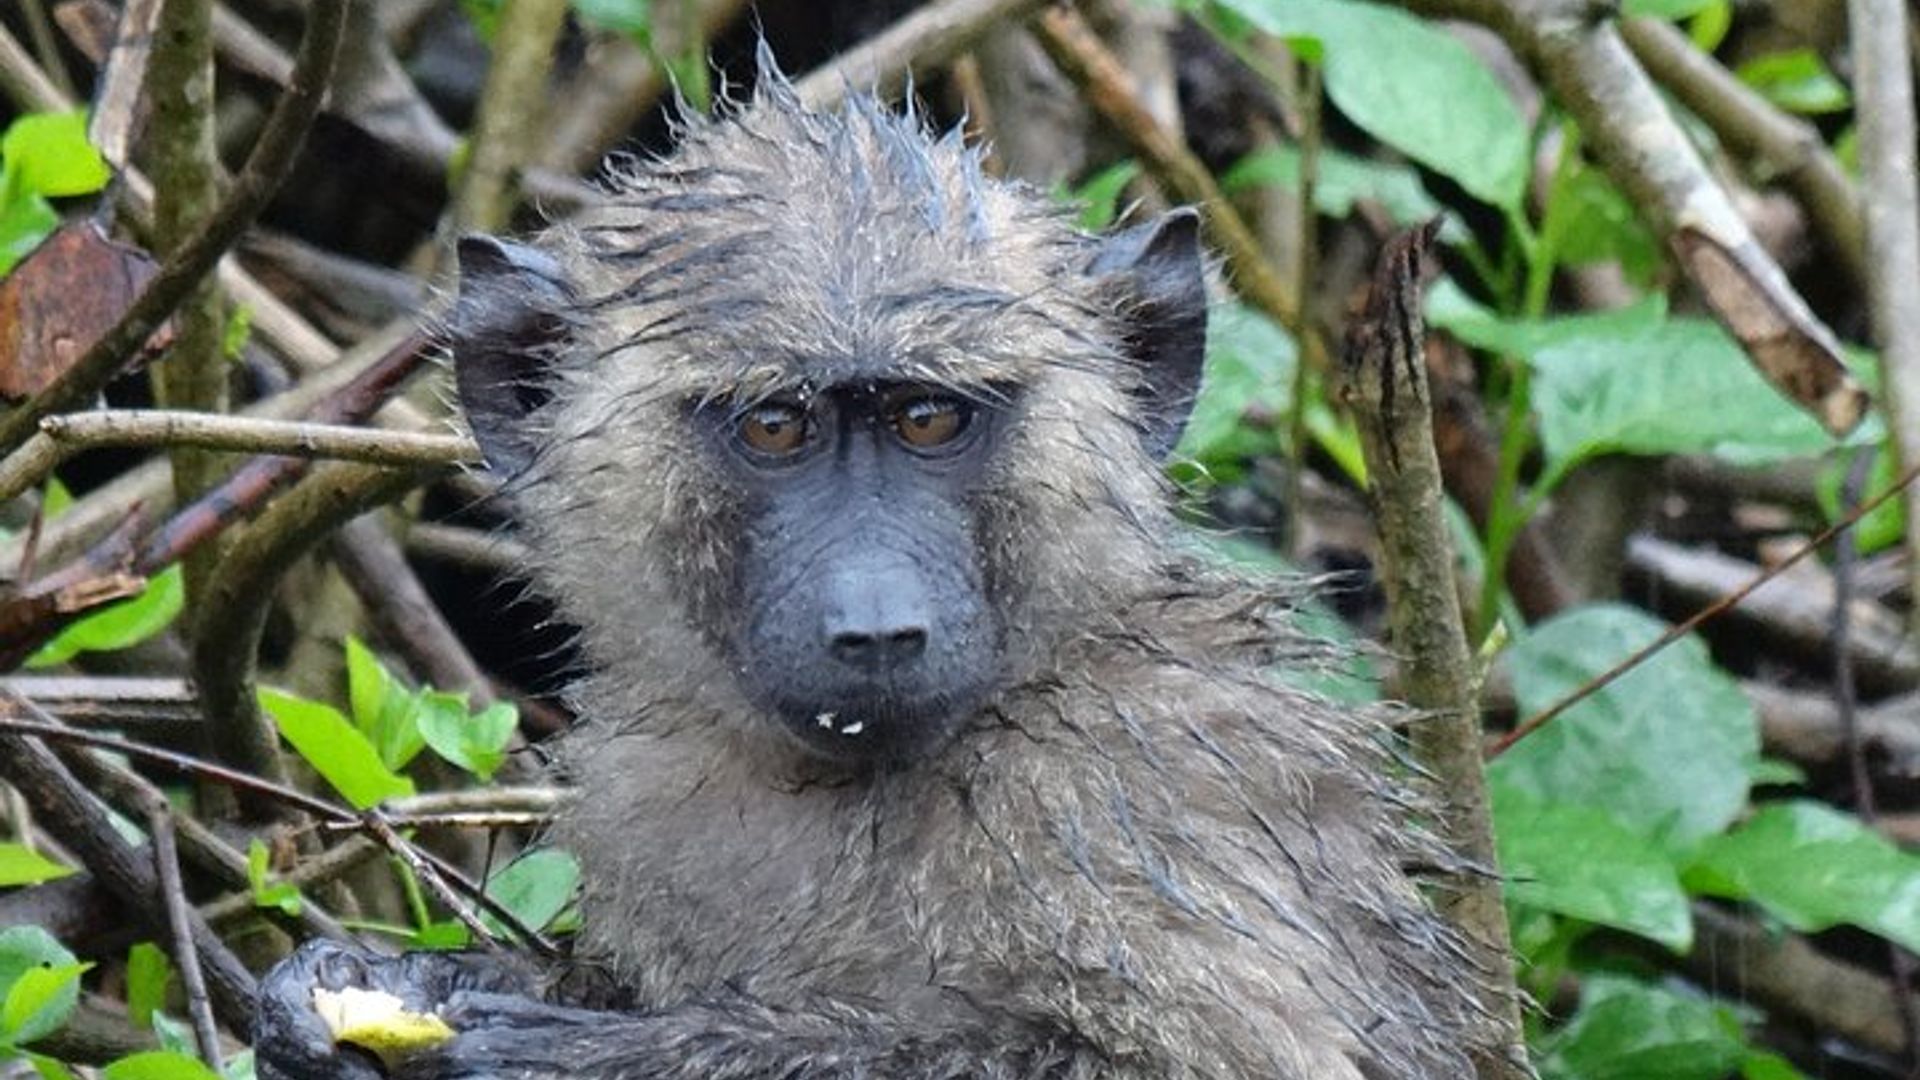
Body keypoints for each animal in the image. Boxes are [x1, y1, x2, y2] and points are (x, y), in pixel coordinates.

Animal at [253, 55, 1493, 1080]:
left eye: (928, 418)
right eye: (776, 427)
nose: (878, 625)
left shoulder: (1141, 792)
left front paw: (563, 1054)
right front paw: (378, 986)